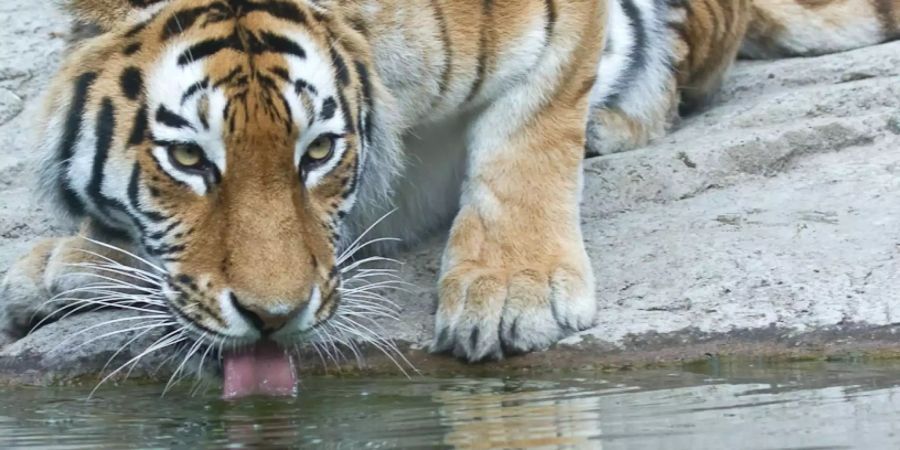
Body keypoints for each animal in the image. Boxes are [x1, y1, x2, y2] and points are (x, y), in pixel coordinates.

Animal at [0, 0, 896, 394]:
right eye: (188, 158)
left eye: (318, 151)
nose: (272, 318)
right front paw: (56, 264)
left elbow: (527, 138)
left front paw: (511, 295)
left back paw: (608, 125)